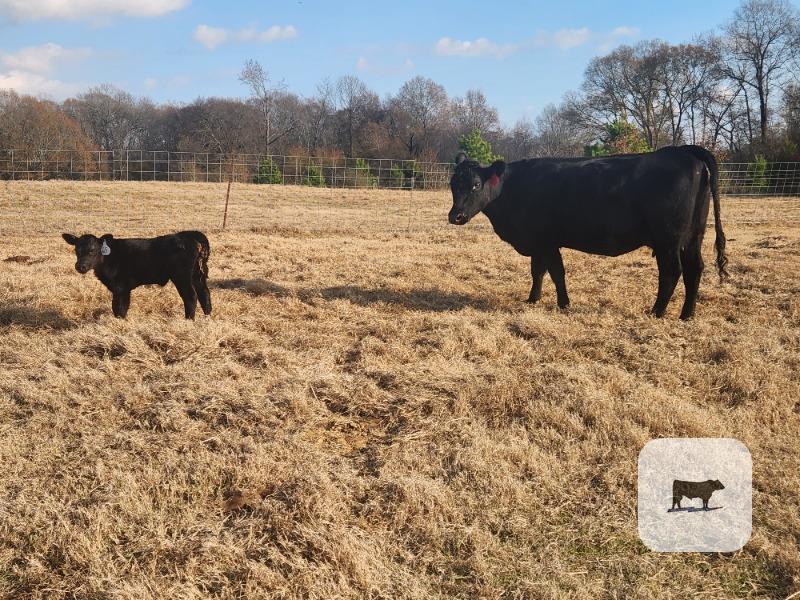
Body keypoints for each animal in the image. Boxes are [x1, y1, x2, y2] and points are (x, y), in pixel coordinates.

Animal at [62, 230, 212, 319]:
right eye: (76, 250)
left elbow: (120, 308)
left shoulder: (121, 288)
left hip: (182, 277)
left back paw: (188, 320)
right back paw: (207, 317)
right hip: (198, 275)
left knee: (191, 297)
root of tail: (190, 234)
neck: (109, 257)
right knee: (204, 293)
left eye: (92, 250)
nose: (80, 266)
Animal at [447, 145, 728, 319]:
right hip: (693, 237)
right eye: (452, 184)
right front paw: (532, 299)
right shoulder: (538, 242)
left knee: (671, 272)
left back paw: (656, 312)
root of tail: (682, 151)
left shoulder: (547, 241)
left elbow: (556, 273)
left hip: (667, 240)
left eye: (476, 184)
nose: (455, 216)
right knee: (695, 269)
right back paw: (686, 315)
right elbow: (538, 271)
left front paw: (564, 304)